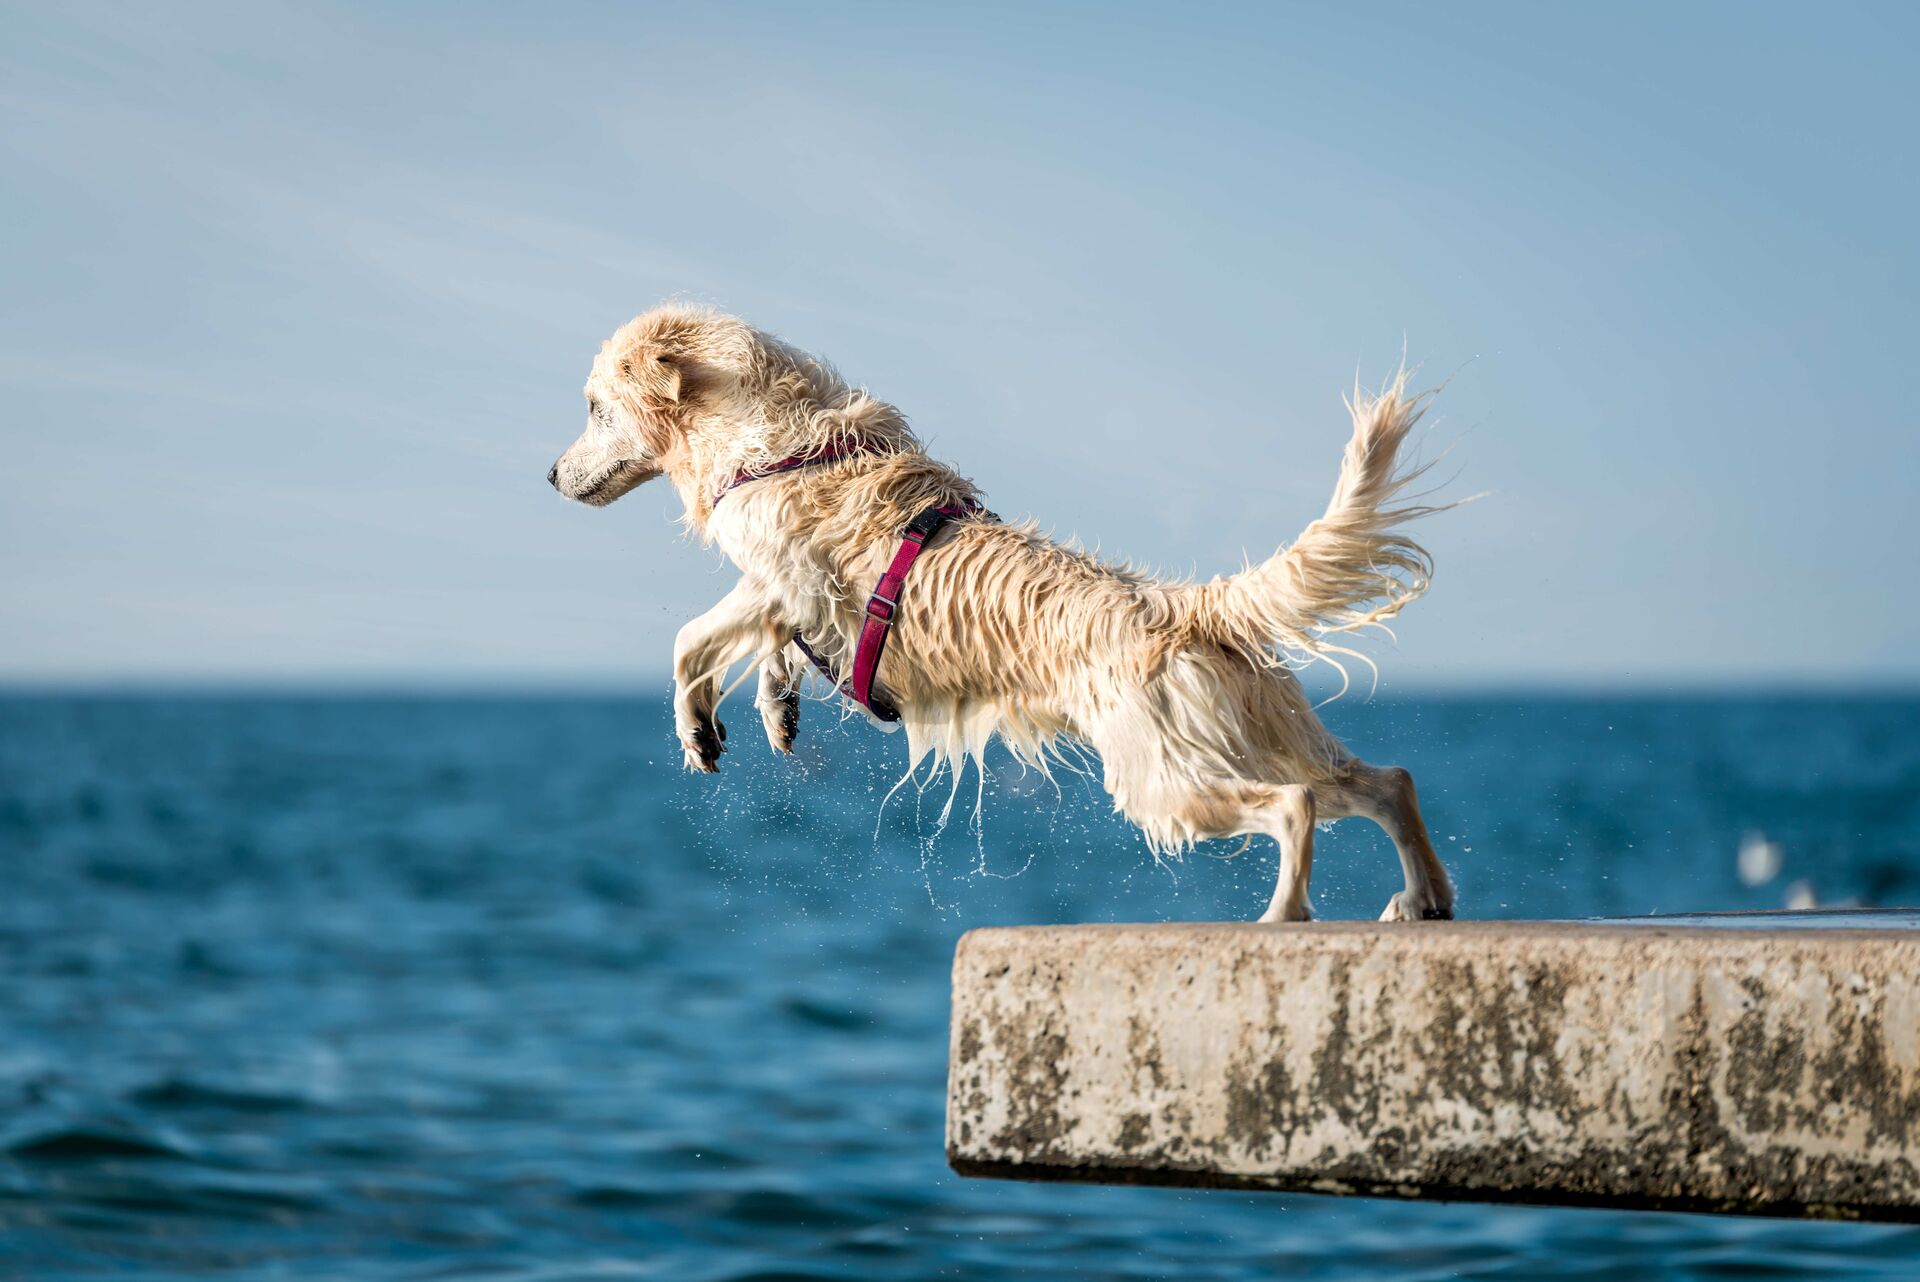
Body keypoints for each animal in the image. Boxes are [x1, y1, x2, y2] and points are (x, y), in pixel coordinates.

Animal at [549, 303, 1443, 921]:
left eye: (593, 407)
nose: (551, 476)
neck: (772, 439)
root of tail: (1184, 604)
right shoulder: (786, 597)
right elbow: (766, 650)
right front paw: (774, 713)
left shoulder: (787, 579)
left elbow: (690, 637)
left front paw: (696, 728)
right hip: (1254, 737)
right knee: (1386, 783)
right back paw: (1423, 900)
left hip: (1166, 779)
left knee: (1294, 807)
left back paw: (1284, 915)